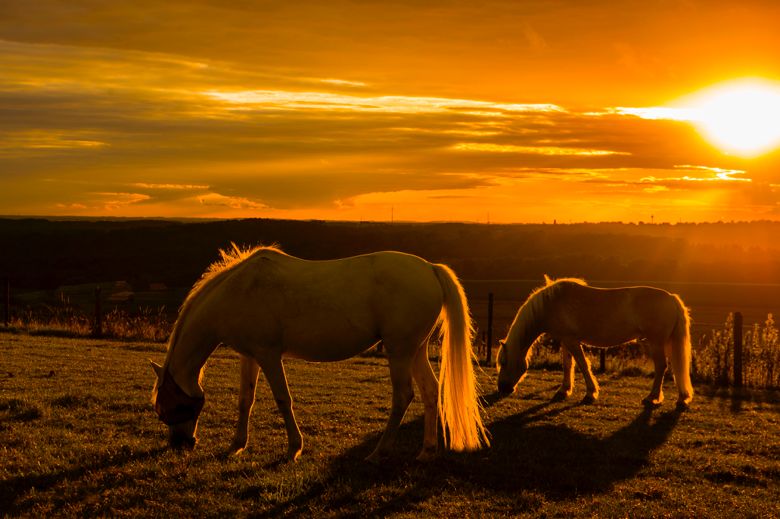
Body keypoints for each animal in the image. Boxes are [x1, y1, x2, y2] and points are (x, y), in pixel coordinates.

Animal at [496, 278, 692, 408]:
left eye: (504, 362)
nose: (502, 389)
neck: (552, 304)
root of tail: (671, 297)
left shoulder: (572, 341)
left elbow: (583, 365)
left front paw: (590, 394)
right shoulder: (565, 341)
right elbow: (568, 365)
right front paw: (563, 391)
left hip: (656, 342)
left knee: (661, 367)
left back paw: (652, 398)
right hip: (666, 343)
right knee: (674, 367)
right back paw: (682, 397)